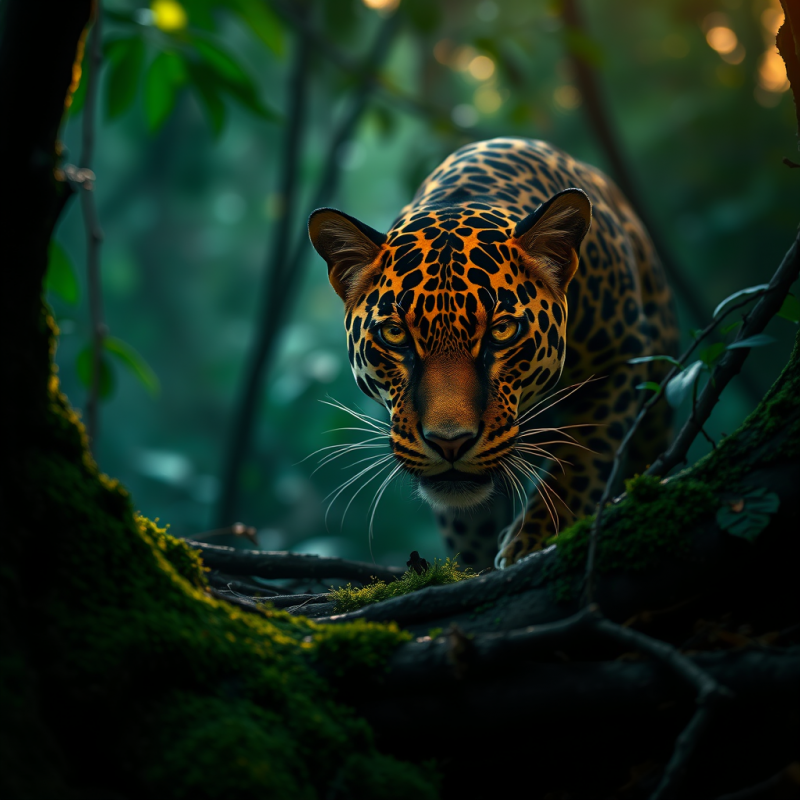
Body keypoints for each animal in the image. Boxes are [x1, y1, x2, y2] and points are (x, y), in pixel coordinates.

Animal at [309, 137, 677, 571]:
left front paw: (534, 540)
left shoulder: (617, 358)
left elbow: (579, 459)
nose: (450, 443)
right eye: (395, 334)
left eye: (501, 332)